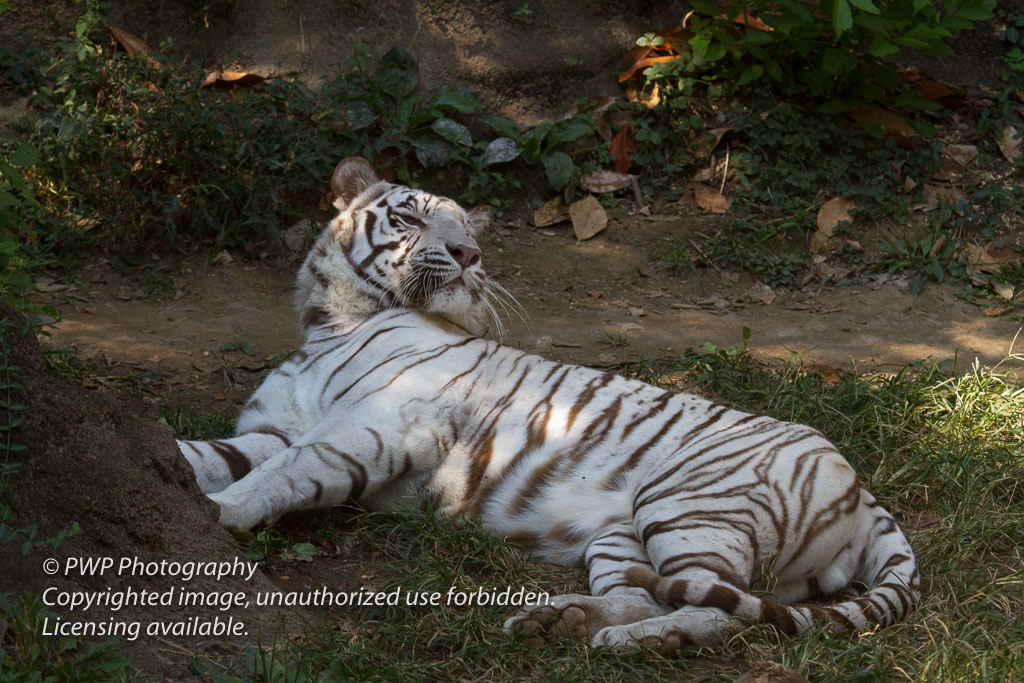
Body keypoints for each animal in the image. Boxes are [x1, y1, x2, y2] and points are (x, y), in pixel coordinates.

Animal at [180, 157, 925, 655]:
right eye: (412, 214)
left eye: (466, 227)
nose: (468, 252)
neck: (330, 322)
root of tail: (864, 493)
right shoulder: (271, 429)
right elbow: (208, 455)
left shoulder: (383, 422)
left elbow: (288, 473)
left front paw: (221, 514)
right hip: (623, 533)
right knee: (637, 592)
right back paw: (558, 619)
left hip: (689, 505)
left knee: (723, 612)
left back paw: (638, 642)